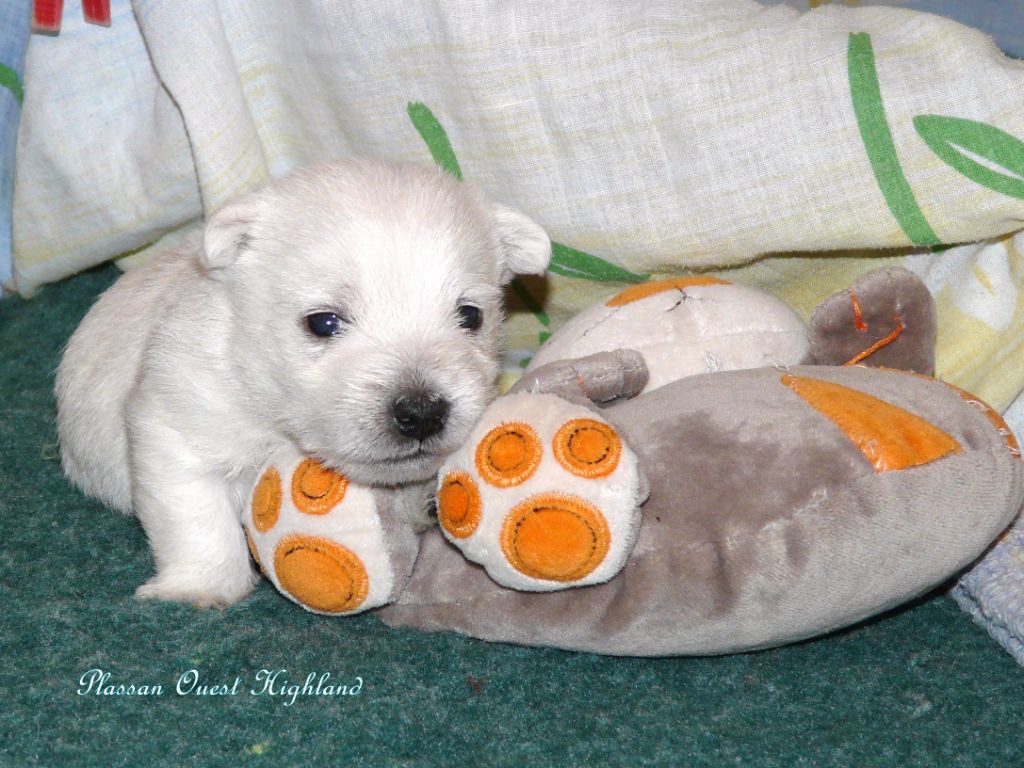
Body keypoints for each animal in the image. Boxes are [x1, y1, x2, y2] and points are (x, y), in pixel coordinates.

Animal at [56, 160, 552, 606]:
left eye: (471, 316)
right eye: (323, 322)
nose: (422, 412)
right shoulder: (179, 422)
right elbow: (197, 515)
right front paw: (201, 588)